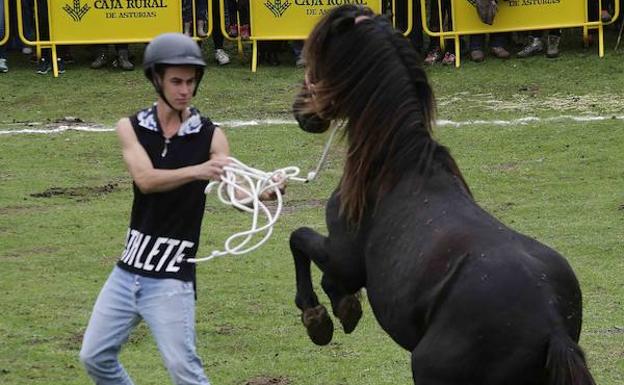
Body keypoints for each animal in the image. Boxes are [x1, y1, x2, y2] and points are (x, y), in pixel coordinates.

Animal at [290, 5, 596, 384]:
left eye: (317, 57)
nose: (300, 109)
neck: (396, 165)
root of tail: (553, 324)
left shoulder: (343, 258)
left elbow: (298, 240)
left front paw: (317, 316)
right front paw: (343, 308)